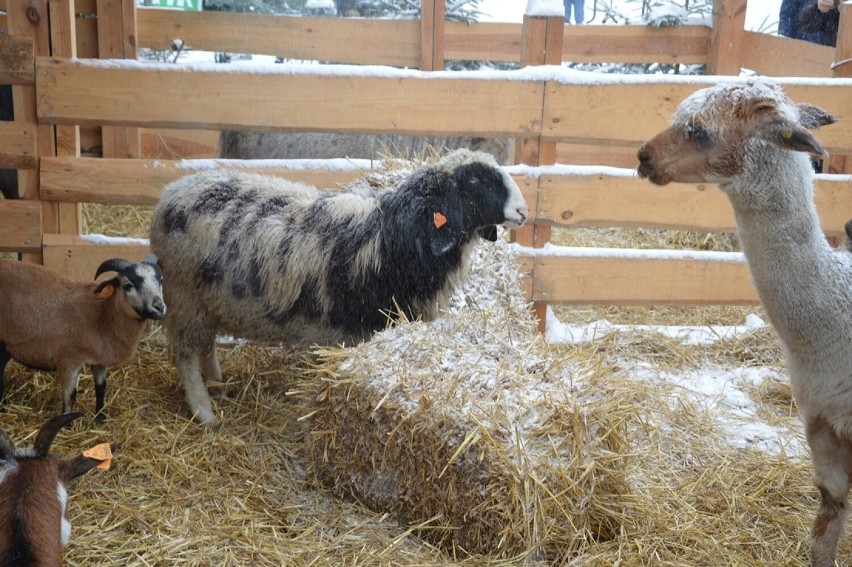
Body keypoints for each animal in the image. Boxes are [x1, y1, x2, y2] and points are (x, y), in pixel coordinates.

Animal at [0, 258, 168, 422]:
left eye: (160, 280)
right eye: (128, 285)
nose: (159, 308)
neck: (102, 316)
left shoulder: (100, 360)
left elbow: (101, 387)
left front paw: (99, 418)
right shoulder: (68, 361)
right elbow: (70, 396)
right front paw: (66, 424)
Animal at [150, 149, 528, 424]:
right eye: (475, 178)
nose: (523, 211)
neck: (393, 235)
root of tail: (169, 194)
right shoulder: (359, 328)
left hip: (207, 300)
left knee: (206, 344)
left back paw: (216, 381)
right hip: (185, 296)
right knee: (186, 354)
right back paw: (205, 412)